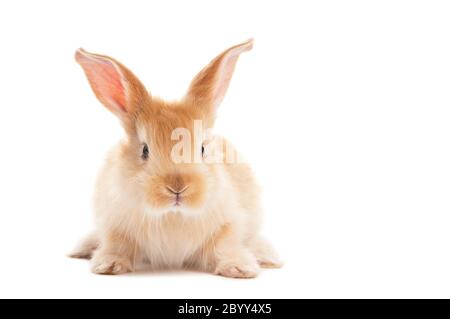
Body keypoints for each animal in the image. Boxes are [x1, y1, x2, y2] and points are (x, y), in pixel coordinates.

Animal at [68, 39, 282, 280]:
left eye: (202, 148)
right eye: (145, 150)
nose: (177, 188)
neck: (173, 215)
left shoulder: (228, 223)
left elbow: (225, 246)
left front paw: (240, 269)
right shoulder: (115, 223)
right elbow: (118, 245)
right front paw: (108, 265)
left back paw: (268, 257)